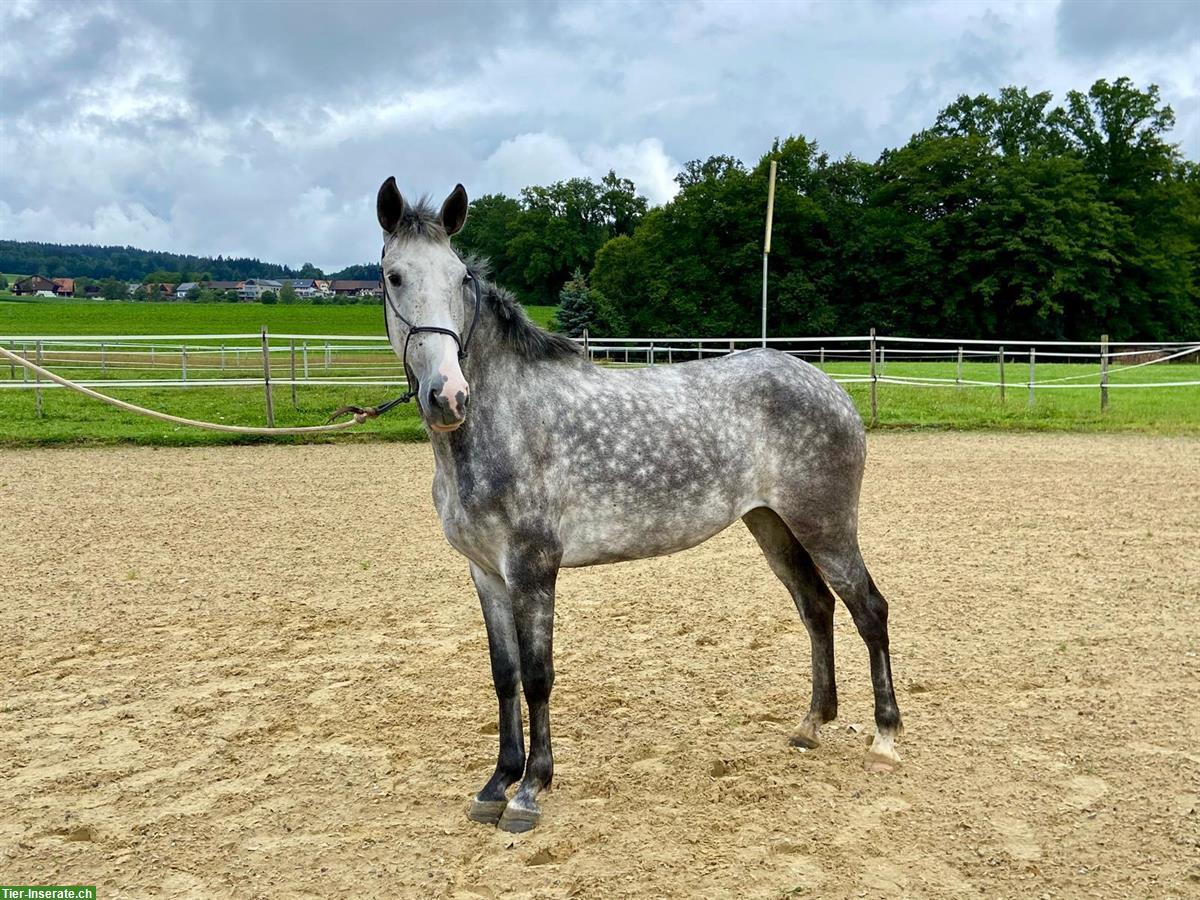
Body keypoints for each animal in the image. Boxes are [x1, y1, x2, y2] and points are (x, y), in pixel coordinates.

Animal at [374, 180, 902, 835]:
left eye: (458, 277)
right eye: (394, 276)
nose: (448, 396)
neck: (503, 420)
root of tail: (832, 389)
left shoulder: (533, 568)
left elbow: (539, 676)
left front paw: (530, 791)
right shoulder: (487, 573)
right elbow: (505, 676)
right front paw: (497, 783)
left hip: (825, 526)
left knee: (868, 610)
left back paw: (885, 739)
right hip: (773, 526)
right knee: (817, 608)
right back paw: (810, 726)